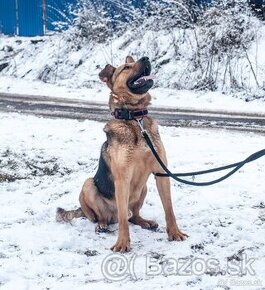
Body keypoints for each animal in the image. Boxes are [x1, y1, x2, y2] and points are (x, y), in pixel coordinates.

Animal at [56, 55, 187, 251]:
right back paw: (102, 225)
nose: (146, 57)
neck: (135, 118)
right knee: (108, 217)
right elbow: (123, 219)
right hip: (89, 185)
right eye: (126, 67)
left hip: (143, 188)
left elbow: (169, 208)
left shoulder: (161, 173)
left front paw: (174, 233)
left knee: (133, 216)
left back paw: (145, 222)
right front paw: (122, 243)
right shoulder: (122, 178)